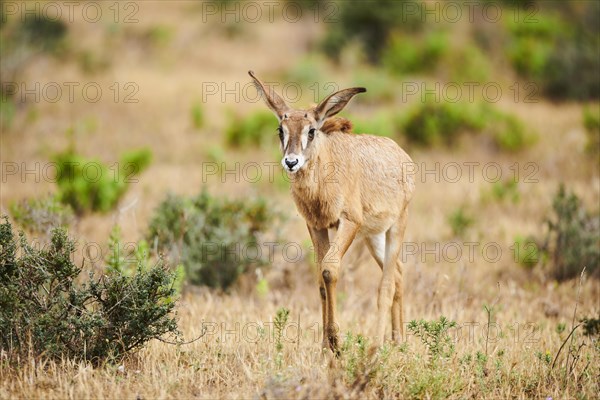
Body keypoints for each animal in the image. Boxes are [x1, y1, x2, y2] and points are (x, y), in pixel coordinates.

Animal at [248, 70, 412, 352]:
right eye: (281, 129)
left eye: (312, 130)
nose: (291, 162)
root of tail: (402, 155)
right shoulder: (316, 225)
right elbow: (320, 280)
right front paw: (326, 345)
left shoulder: (348, 222)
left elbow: (329, 270)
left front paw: (336, 341)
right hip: (373, 236)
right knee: (399, 274)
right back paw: (398, 341)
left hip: (396, 227)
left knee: (388, 284)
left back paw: (377, 345)